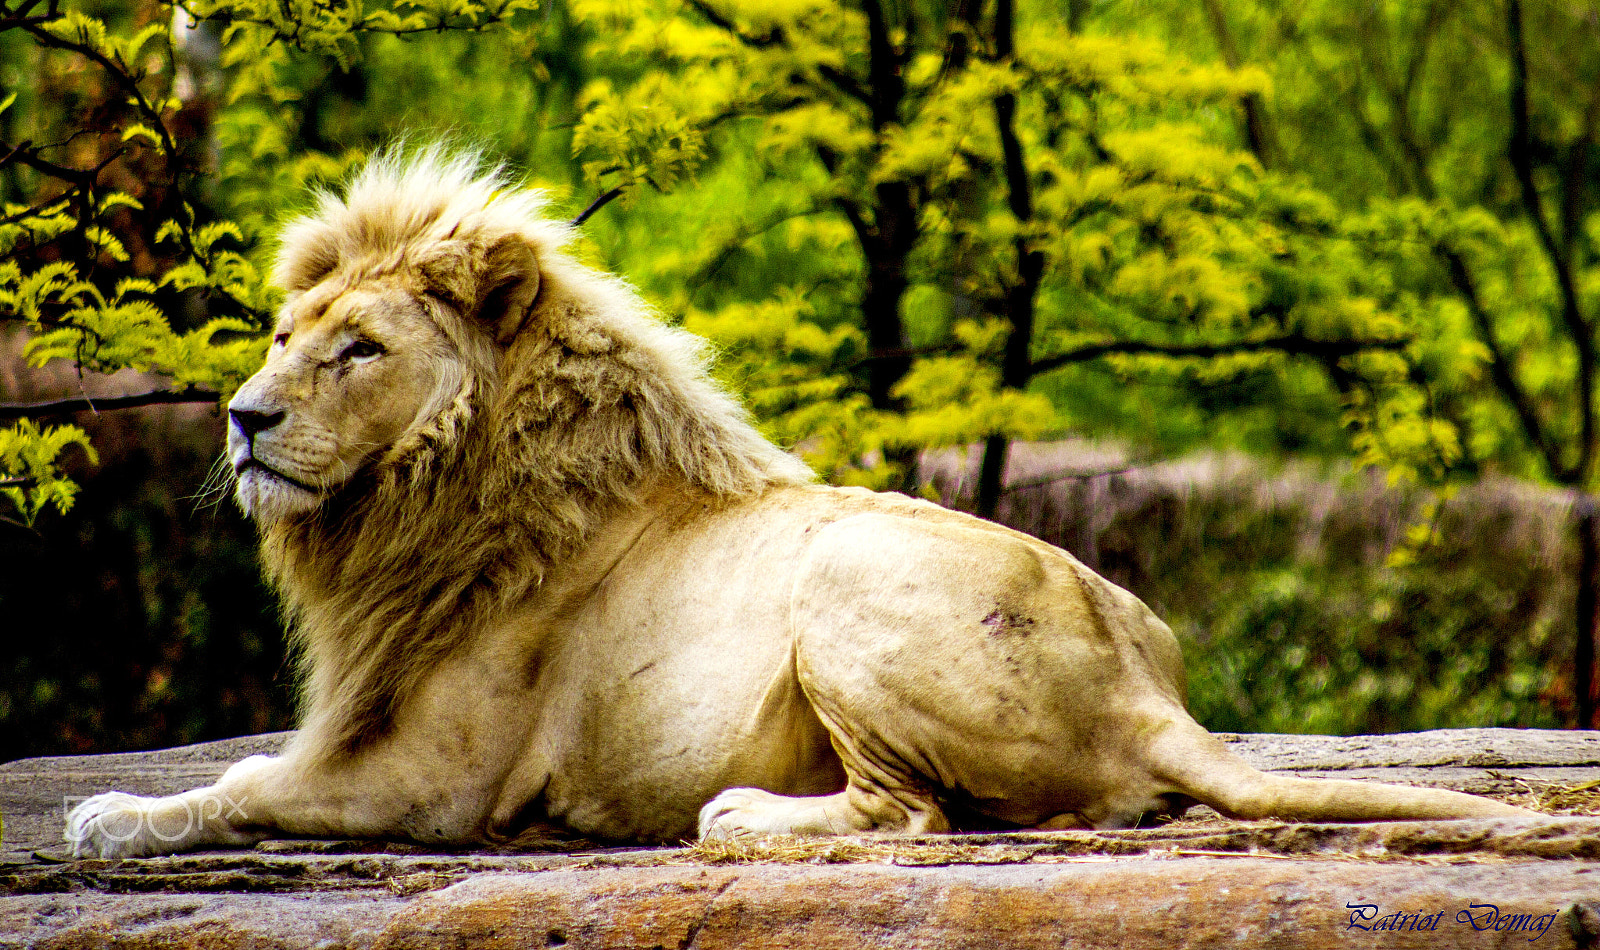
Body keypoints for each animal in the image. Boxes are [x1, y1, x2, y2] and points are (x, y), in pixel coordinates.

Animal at [66, 147, 1533, 858]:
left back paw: (739, 817)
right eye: (278, 335)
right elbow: (243, 770)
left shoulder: (430, 778)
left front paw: (110, 813)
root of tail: (1145, 690)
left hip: (844, 579)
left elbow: (239, 782)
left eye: (359, 348)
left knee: (916, 815)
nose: (243, 416)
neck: (409, 512)